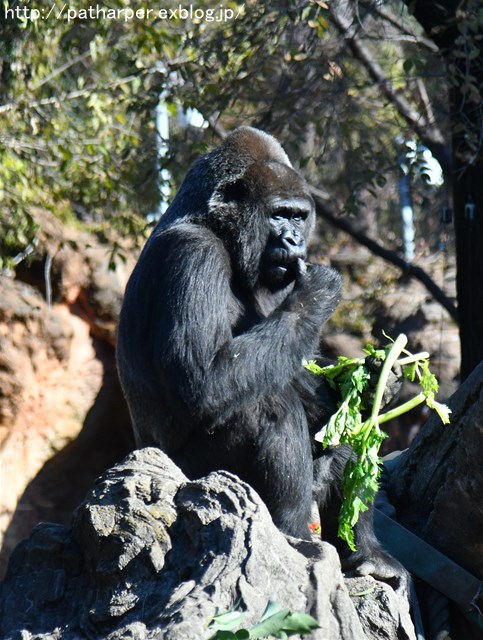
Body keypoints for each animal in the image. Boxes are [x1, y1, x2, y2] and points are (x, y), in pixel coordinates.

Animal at [118, 126, 408, 584]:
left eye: (299, 216)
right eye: (278, 215)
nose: (294, 239)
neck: (213, 226)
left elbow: (306, 375)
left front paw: (379, 376)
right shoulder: (192, 255)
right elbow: (207, 383)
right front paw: (319, 292)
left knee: (342, 436)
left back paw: (364, 554)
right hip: (191, 482)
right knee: (264, 406)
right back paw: (292, 538)